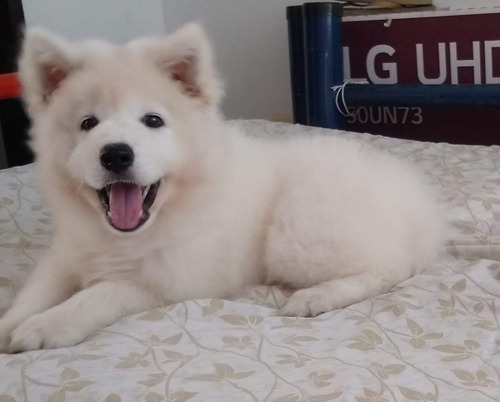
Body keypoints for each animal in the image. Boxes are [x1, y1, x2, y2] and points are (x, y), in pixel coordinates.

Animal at [0, 24, 444, 352]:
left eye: (153, 121)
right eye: (88, 123)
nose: (116, 155)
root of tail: (418, 205)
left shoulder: (171, 280)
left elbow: (102, 293)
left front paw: (47, 325)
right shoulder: (66, 254)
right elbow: (34, 292)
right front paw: (12, 324)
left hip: (298, 232)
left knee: (387, 268)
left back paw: (316, 297)